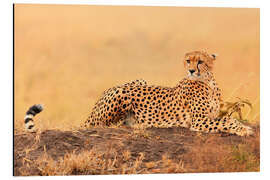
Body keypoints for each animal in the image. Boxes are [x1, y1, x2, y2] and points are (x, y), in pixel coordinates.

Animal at [24, 50, 254, 136]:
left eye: (200, 61)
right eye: (188, 60)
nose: (190, 70)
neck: (207, 81)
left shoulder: (209, 115)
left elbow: (227, 117)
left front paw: (244, 127)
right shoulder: (199, 120)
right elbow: (227, 121)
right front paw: (244, 130)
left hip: (139, 80)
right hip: (122, 93)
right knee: (106, 125)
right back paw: (138, 124)